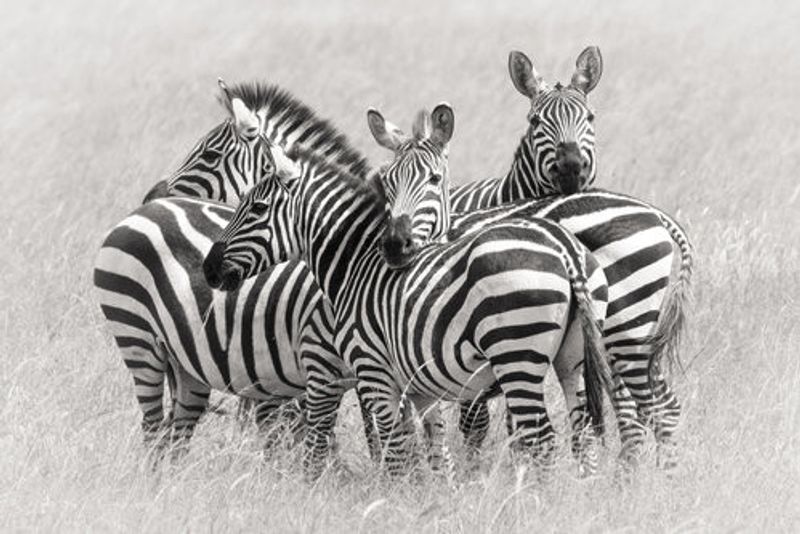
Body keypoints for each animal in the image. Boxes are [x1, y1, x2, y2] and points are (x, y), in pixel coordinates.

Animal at [202, 137, 616, 477]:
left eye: (256, 208)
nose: (208, 268)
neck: (356, 264)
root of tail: (564, 247)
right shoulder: (419, 386)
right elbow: (434, 451)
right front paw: (437, 503)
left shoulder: (373, 372)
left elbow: (396, 452)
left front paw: (396, 502)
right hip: (572, 360)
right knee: (581, 434)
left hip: (516, 355)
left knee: (541, 439)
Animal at [366, 47, 692, 469]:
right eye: (535, 121)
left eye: (590, 117)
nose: (571, 168)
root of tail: (657, 215)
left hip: (625, 328)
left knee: (649, 407)